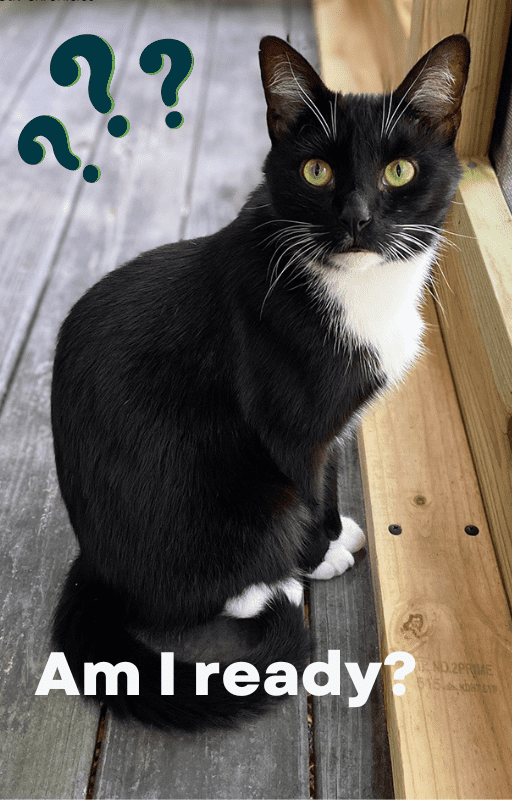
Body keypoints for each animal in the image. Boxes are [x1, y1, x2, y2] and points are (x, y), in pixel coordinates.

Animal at [51, 34, 468, 728]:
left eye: (400, 171)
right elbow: (304, 482)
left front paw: (334, 530)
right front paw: (320, 554)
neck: (359, 290)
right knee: (196, 591)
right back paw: (269, 585)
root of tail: (97, 562)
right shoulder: (289, 423)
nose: (357, 218)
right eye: (316, 171)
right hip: (225, 499)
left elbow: (327, 480)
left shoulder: (334, 430)